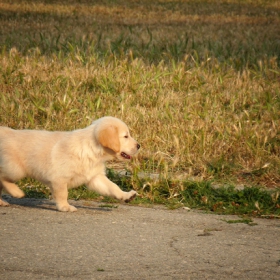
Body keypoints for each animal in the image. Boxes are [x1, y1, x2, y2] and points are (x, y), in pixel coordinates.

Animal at [0, 117, 140, 211]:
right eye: (126, 136)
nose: (139, 146)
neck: (91, 150)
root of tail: (5, 131)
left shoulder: (95, 177)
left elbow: (112, 187)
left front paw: (126, 195)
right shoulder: (59, 178)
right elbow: (63, 193)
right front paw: (65, 207)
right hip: (15, 169)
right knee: (2, 177)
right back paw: (16, 192)